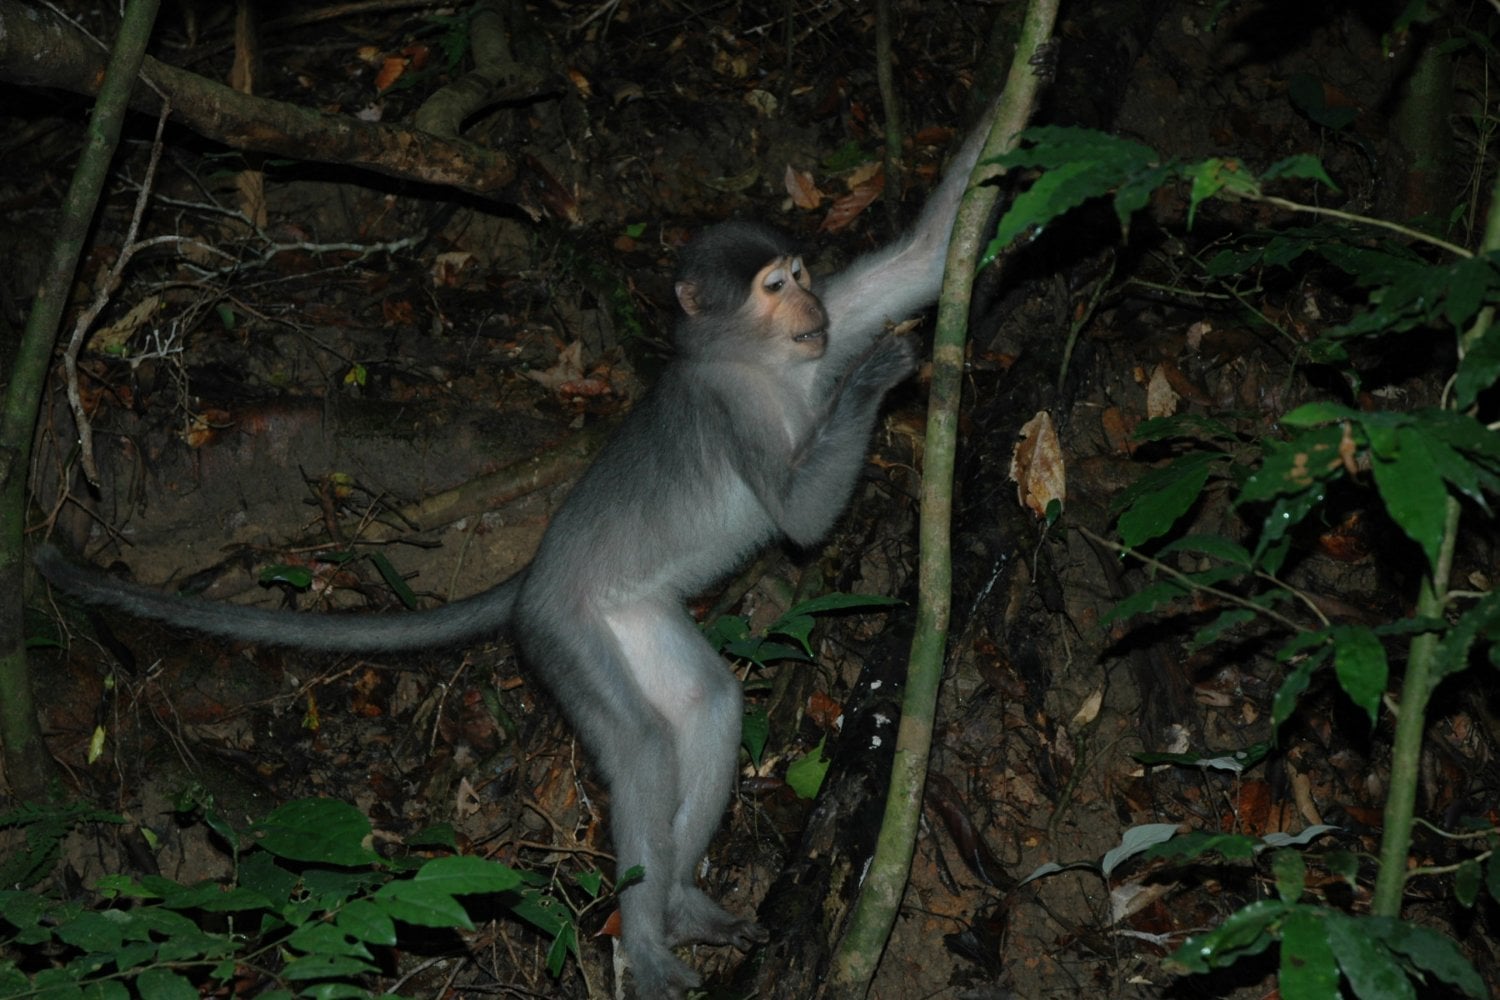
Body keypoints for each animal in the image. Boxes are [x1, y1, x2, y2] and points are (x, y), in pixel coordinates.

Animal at [35, 109, 992, 999]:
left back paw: (680, 902)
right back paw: (648, 937)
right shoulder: (734, 410)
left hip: (632, 615)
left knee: (707, 704)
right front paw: (877, 374)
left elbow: (922, 260)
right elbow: (797, 518)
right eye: (773, 286)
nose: (812, 310)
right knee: (642, 743)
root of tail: (534, 576)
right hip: (564, 631)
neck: (762, 366)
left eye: (801, 278)